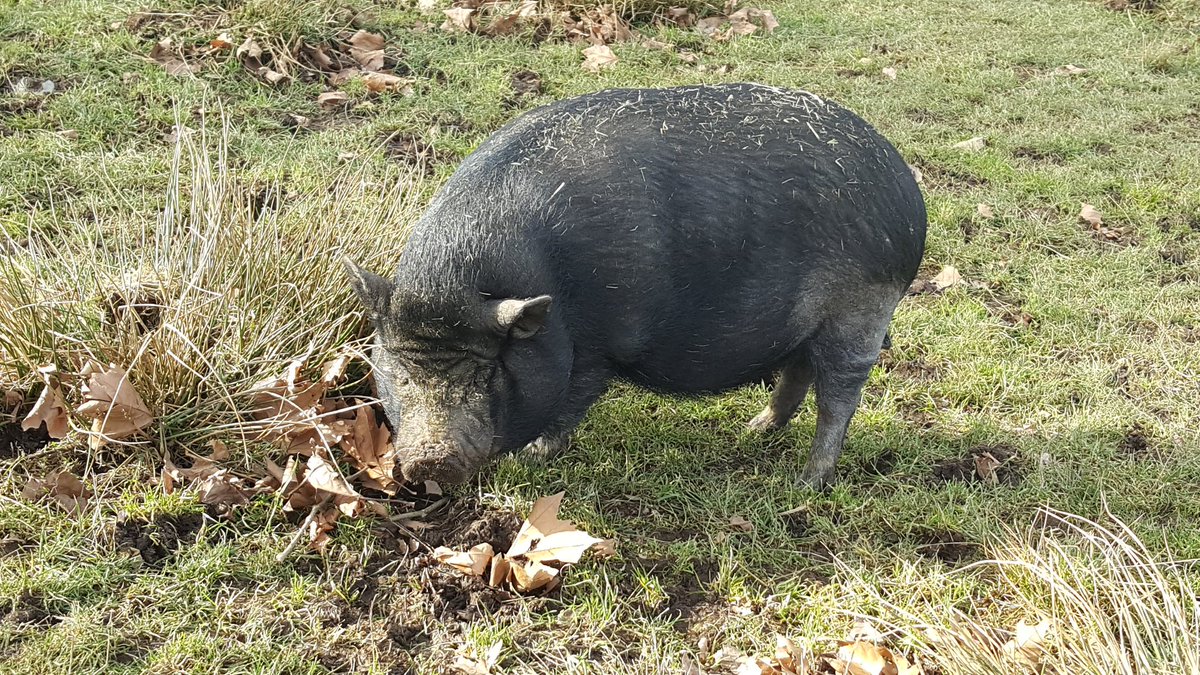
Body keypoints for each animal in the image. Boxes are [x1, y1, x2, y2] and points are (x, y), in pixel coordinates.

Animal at [344, 83, 926, 489]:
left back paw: (806, 483)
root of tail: (907, 197)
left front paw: (531, 457)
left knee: (839, 396)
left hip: (860, 311)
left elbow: (572, 401)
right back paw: (754, 430)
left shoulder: (596, 346)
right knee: (798, 370)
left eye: (486, 375)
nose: (430, 459)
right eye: (400, 371)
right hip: (811, 324)